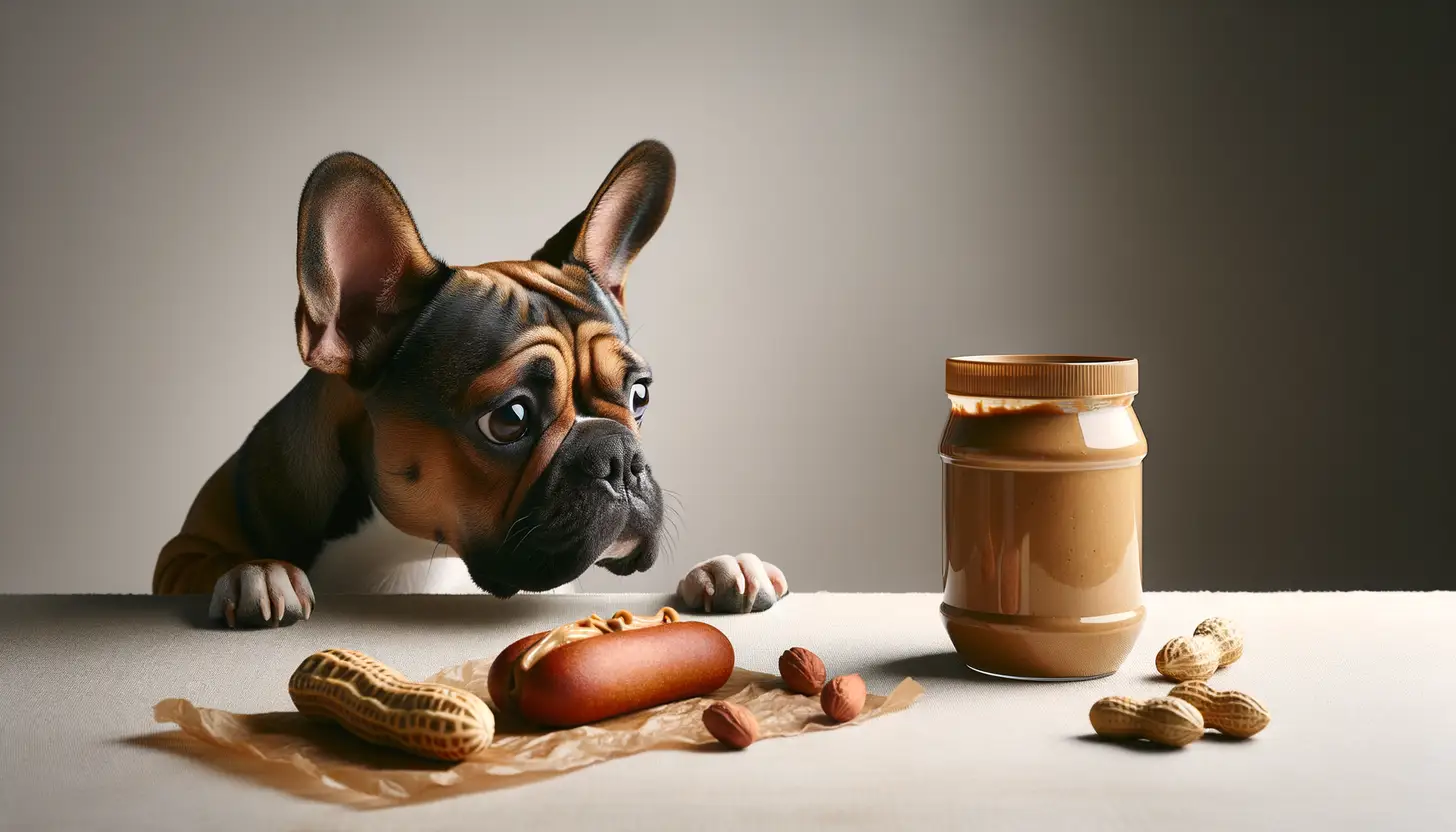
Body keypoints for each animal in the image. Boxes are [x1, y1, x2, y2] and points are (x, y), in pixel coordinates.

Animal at [150, 139, 786, 629]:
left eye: (641, 395)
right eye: (510, 418)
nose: (622, 458)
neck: (410, 552)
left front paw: (723, 569)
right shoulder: (179, 552)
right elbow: (204, 562)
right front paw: (255, 573)